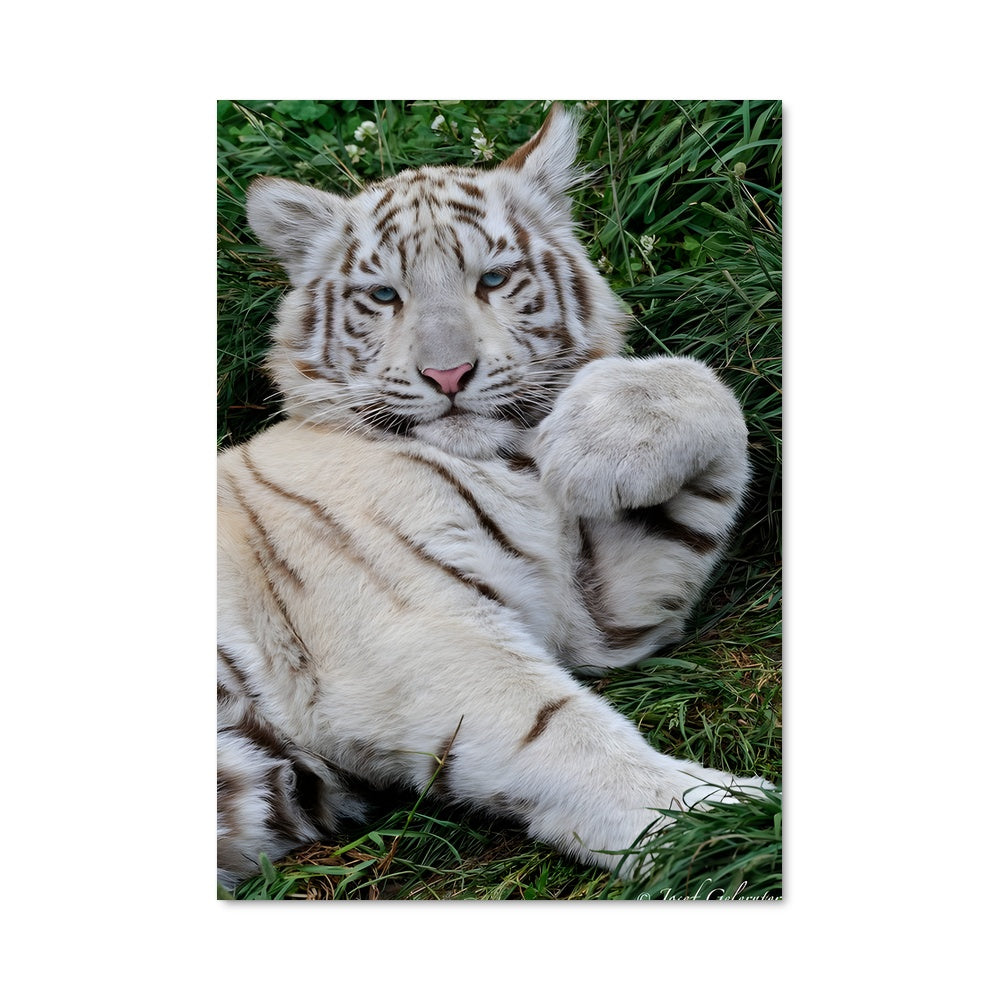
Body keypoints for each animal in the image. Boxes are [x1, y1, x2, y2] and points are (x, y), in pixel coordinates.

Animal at [217, 103, 772, 891]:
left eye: (495, 279)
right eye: (384, 295)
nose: (448, 375)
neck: (503, 459)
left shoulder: (594, 615)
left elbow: (708, 387)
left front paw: (590, 441)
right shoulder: (415, 631)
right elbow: (561, 732)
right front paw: (722, 821)